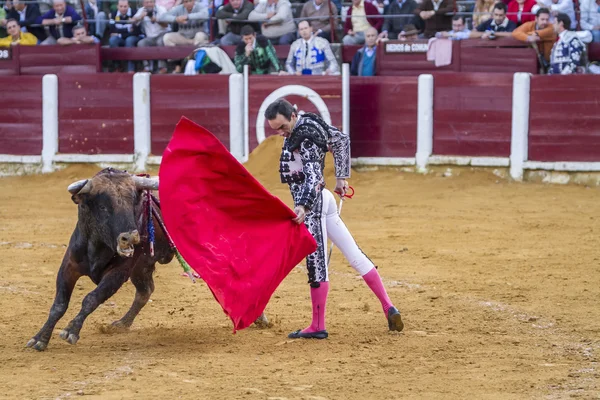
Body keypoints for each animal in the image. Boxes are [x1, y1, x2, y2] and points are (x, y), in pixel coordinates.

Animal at [27, 167, 175, 352]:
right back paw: (121, 324)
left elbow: (92, 298)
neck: (97, 246)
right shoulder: (68, 267)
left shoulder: (118, 274)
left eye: (133, 204)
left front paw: (71, 330)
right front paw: (40, 338)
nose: (130, 237)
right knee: (145, 291)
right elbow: (59, 305)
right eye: (103, 207)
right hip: (141, 268)